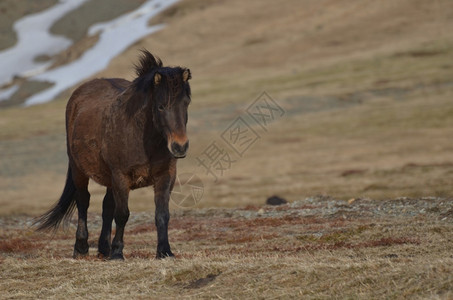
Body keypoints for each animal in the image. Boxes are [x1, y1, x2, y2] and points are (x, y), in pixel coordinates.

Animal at [35, 50, 191, 258]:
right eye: (160, 106)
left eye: (186, 103)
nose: (180, 146)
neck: (141, 137)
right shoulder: (121, 176)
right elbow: (122, 214)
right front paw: (117, 253)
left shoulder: (165, 176)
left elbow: (162, 214)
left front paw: (164, 251)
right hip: (79, 170)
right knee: (83, 201)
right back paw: (81, 247)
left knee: (106, 206)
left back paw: (104, 248)